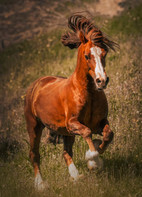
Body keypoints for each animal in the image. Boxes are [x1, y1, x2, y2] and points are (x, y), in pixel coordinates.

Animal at [24, 14, 117, 191]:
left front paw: (96, 148)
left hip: (66, 133)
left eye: (104, 53)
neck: (87, 93)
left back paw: (75, 177)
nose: (102, 81)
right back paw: (40, 184)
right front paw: (93, 161)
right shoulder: (73, 123)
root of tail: (37, 84)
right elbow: (87, 132)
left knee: (66, 153)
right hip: (34, 126)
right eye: (87, 56)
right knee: (34, 154)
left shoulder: (99, 122)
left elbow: (109, 134)